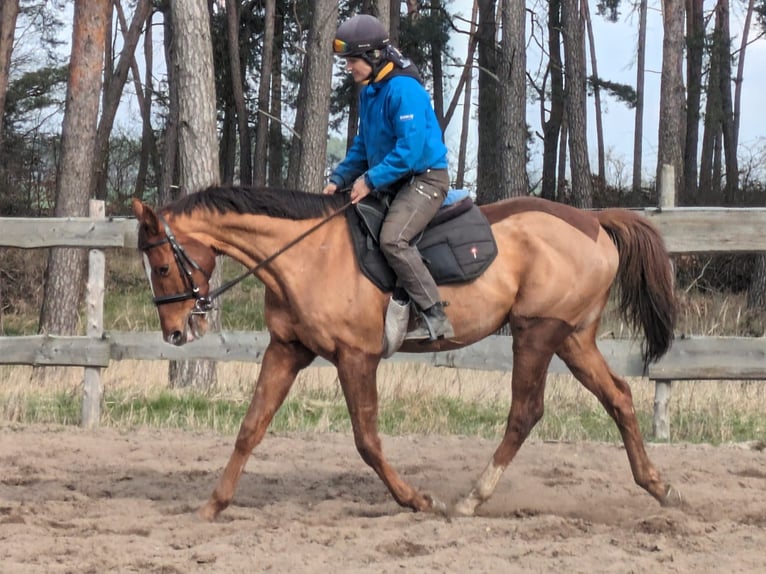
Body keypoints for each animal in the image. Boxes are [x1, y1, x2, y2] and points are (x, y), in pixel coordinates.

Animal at [134, 186, 684, 520]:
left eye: (161, 267)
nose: (175, 333)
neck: (307, 255)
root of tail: (594, 222)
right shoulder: (287, 349)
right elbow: (251, 428)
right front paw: (212, 505)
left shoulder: (356, 357)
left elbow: (367, 441)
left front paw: (416, 499)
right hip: (573, 338)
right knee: (618, 396)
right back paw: (658, 486)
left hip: (537, 333)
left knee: (525, 412)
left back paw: (471, 500)